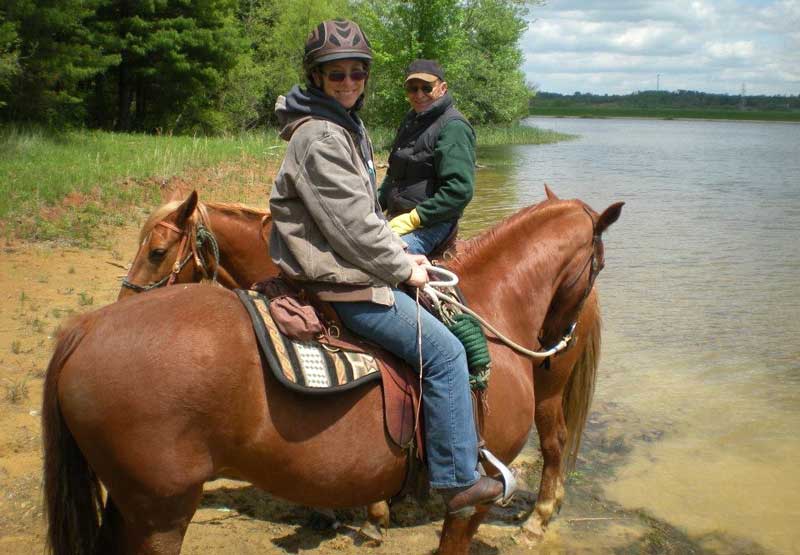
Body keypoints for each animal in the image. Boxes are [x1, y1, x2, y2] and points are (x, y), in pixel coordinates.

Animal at [40, 193, 620, 552]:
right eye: (600, 263)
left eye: (158, 252)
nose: (556, 334)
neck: (490, 306)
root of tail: (84, 330)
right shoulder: (471, 499)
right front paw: (367, 517)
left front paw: (367, 516)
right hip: (156, 511)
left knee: (555, 444)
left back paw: (539, 518)